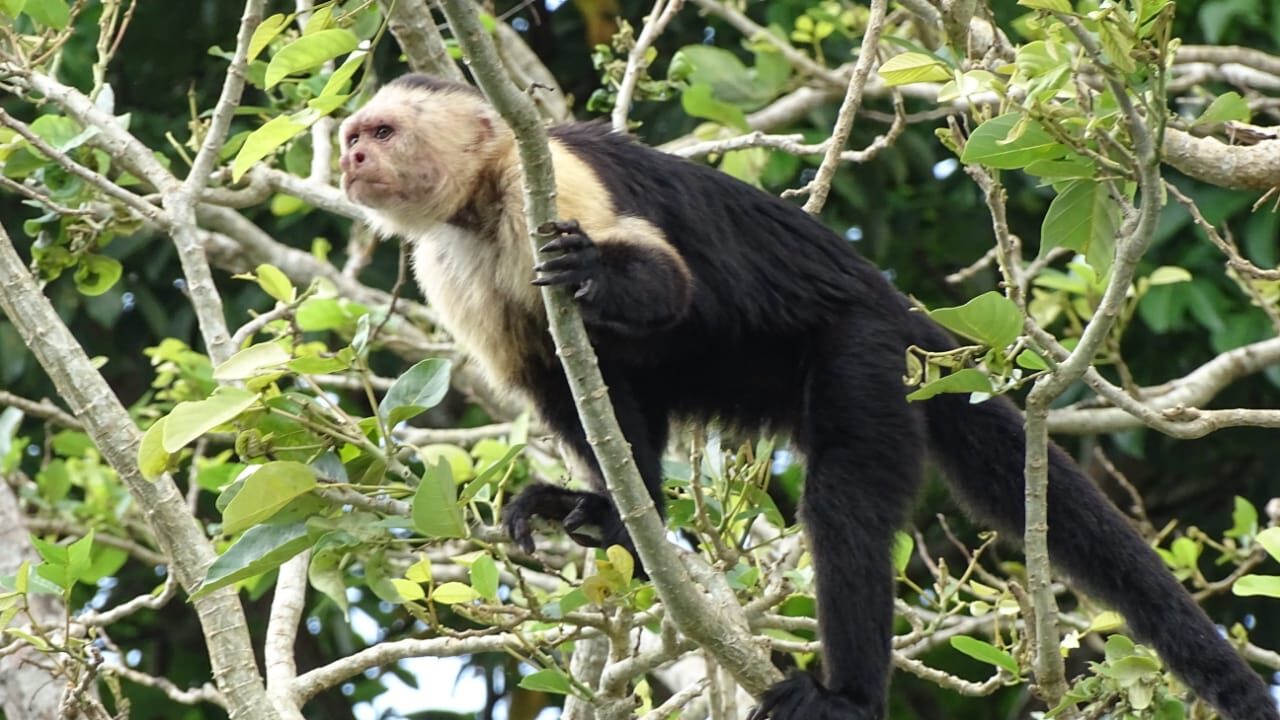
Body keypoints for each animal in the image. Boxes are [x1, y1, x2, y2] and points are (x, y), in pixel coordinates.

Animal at [337, 74, 1279, 720]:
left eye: (381, 130)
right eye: (352, 133)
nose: (349, 157)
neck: (477, 205)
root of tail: (899, 309)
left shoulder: (553, 178)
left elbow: (663, 287)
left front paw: (599, 271)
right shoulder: (444, 265)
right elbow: (572, 389)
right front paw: (614, 512)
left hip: (871, 352)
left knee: (845, 499)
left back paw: (850, 695)